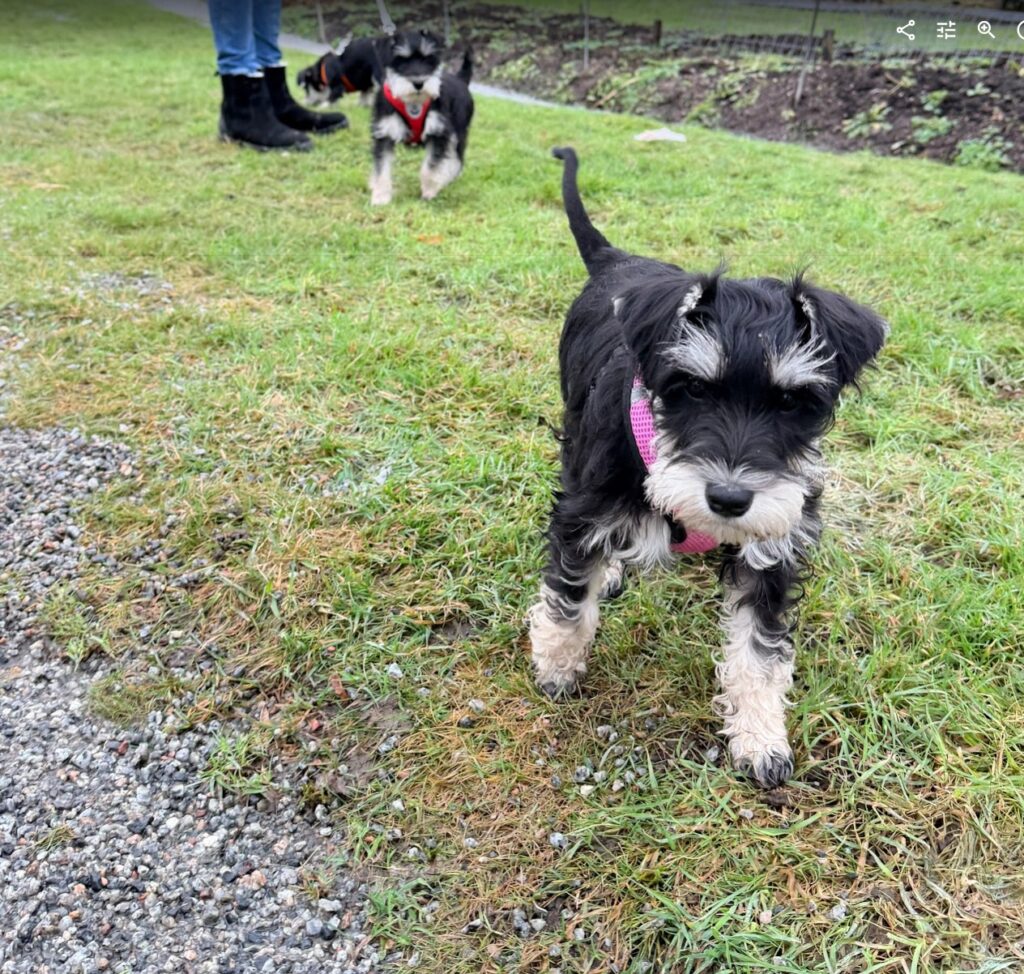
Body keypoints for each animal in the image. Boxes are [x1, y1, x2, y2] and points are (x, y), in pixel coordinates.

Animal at [369, 30, 474, 205]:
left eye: (428, 59)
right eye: (401, 60)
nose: (418, 83)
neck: (412, 103)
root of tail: (461, 79)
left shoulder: (438, 133)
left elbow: (431, 166)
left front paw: (429, 192)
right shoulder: (384, 134)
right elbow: (381, 167)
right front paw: (380, 197)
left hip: (458, 133)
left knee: (456, 160)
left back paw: (444, 179)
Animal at [528, 148, 887, 789]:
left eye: (792, 402)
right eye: (693, 388)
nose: (729, 499)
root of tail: (618, 260)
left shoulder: (772, 550)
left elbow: (760, 652)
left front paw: (761, 738)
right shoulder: (583, 509)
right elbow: (567, 594)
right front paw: (557, 665)